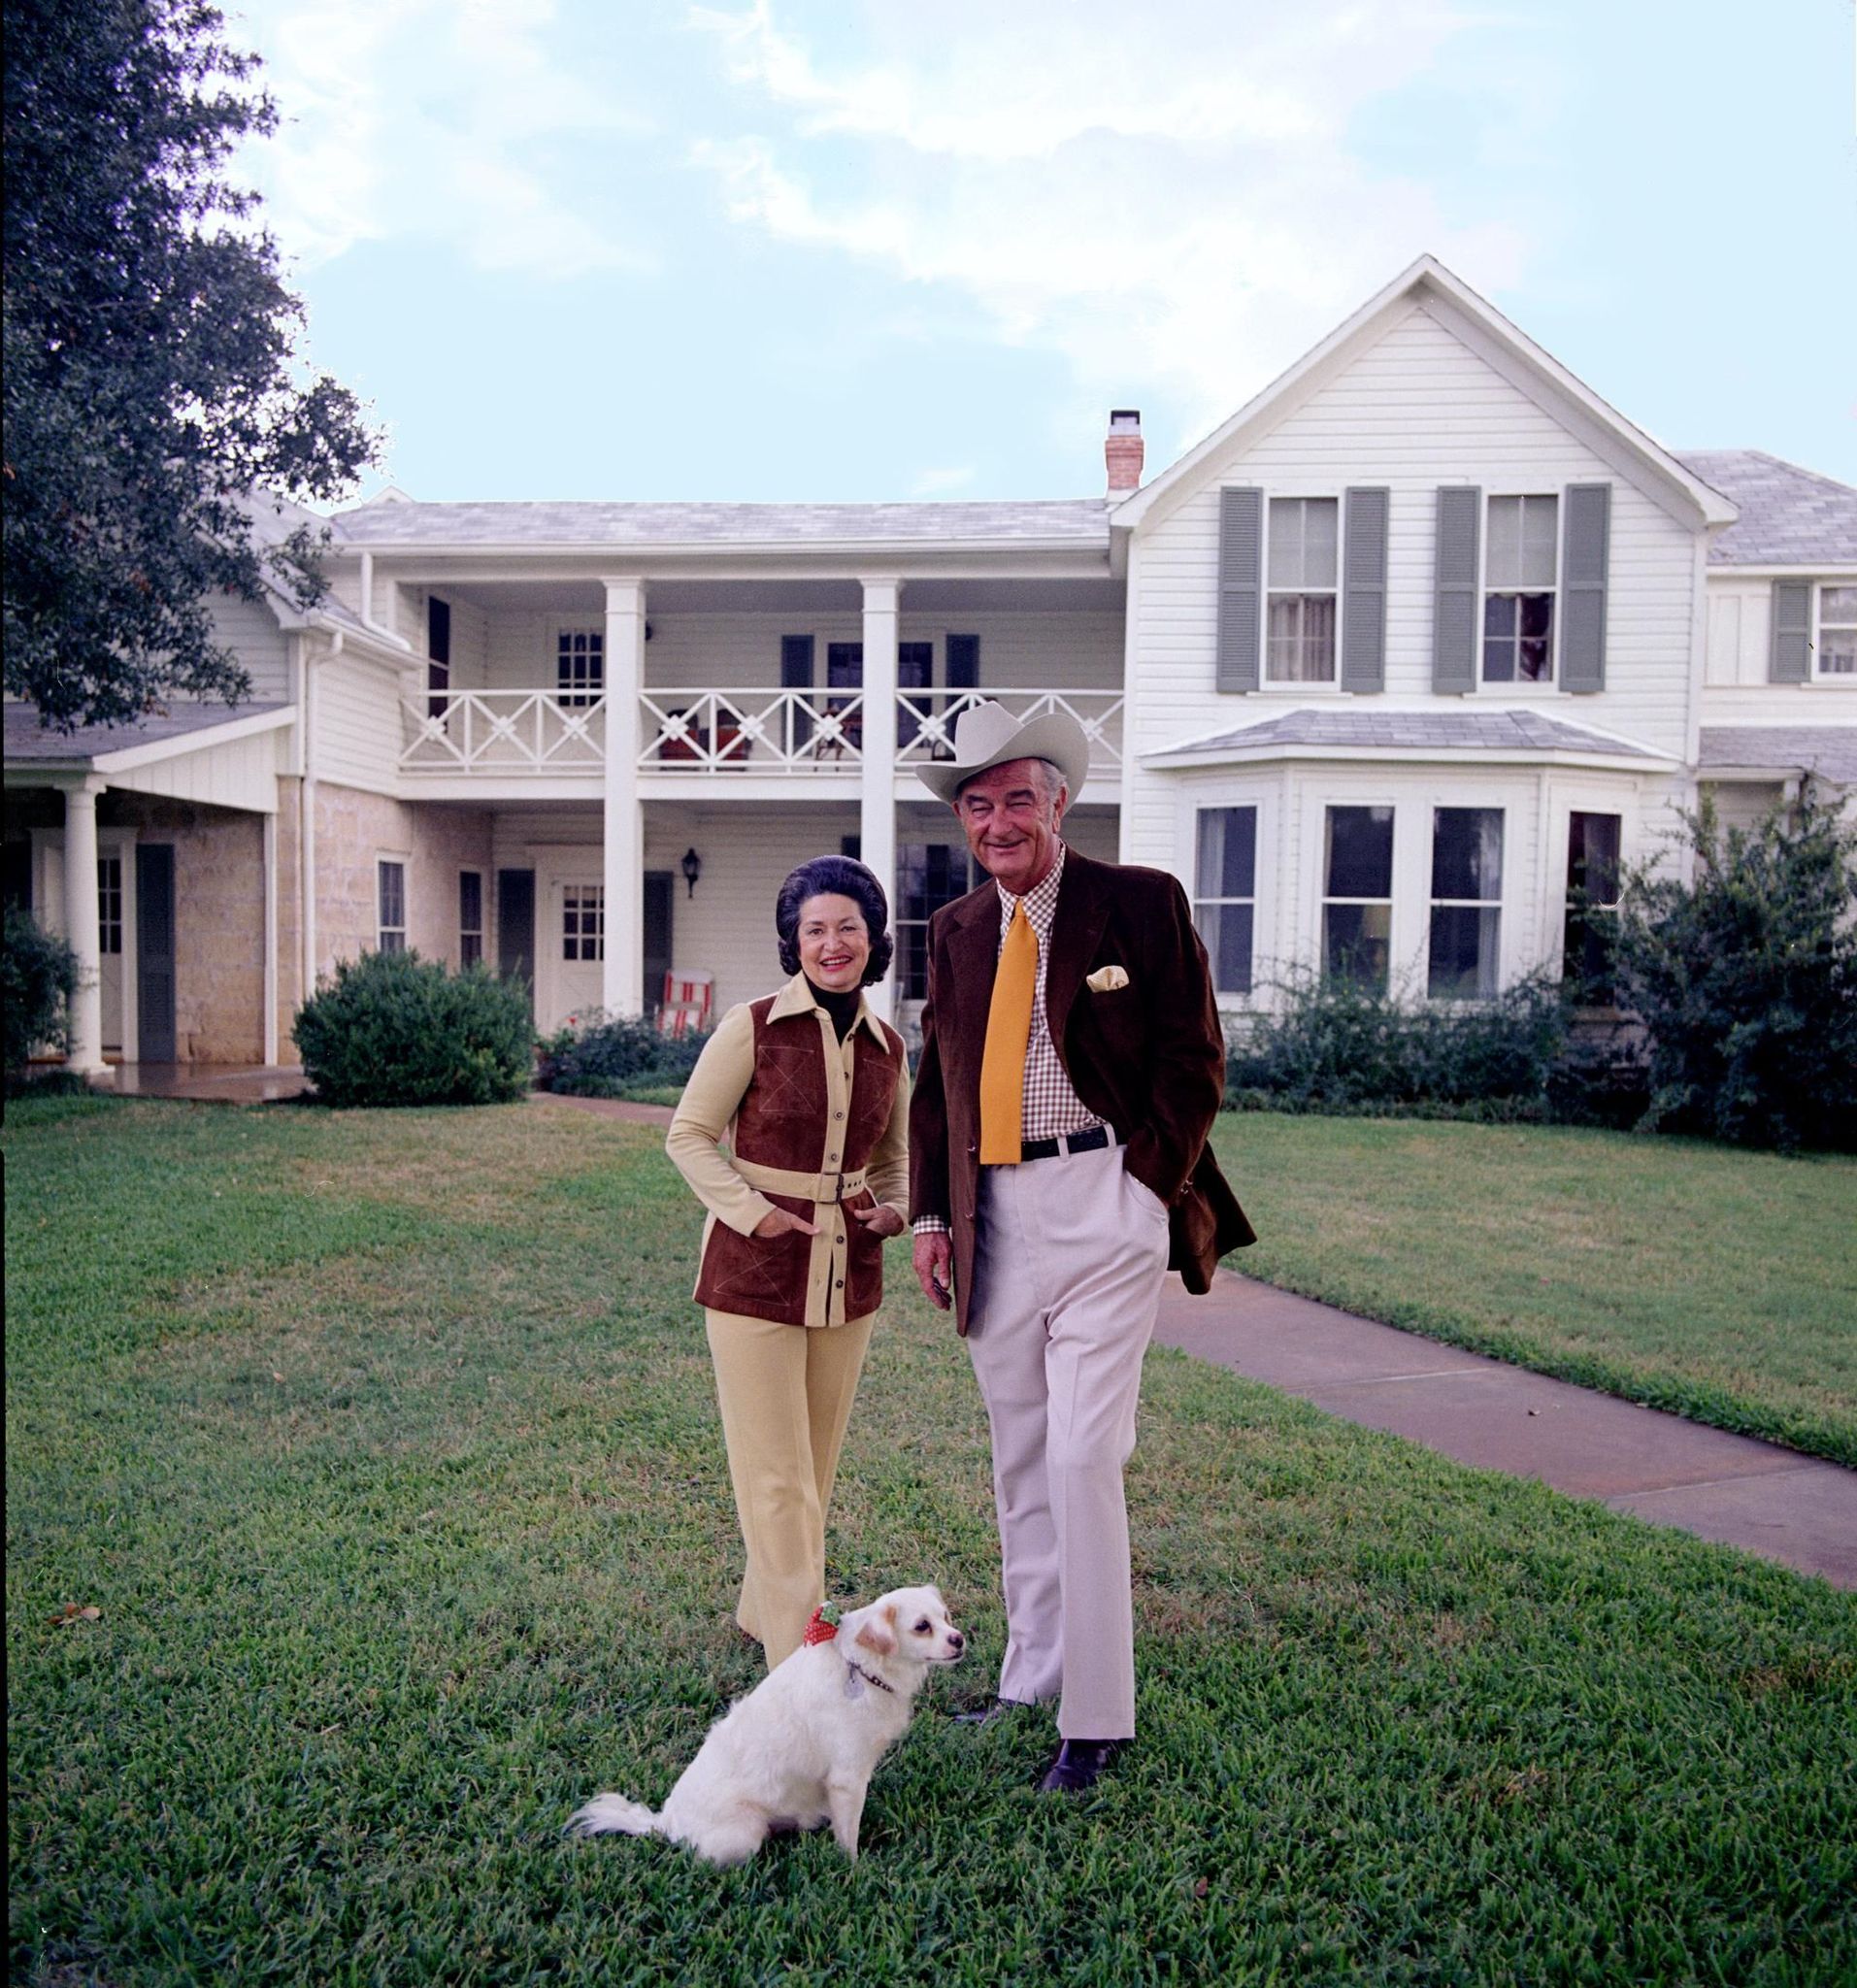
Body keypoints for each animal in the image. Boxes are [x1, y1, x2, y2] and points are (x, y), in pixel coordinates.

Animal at [568, 1582, 966, 1860]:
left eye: (945, 1617)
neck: (863, 1668)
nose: (959, 1639)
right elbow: (848, 1834)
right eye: (921, 1626)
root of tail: (666, 1822)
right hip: (744, 1834)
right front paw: (854, 1866)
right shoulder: (847, 1778)